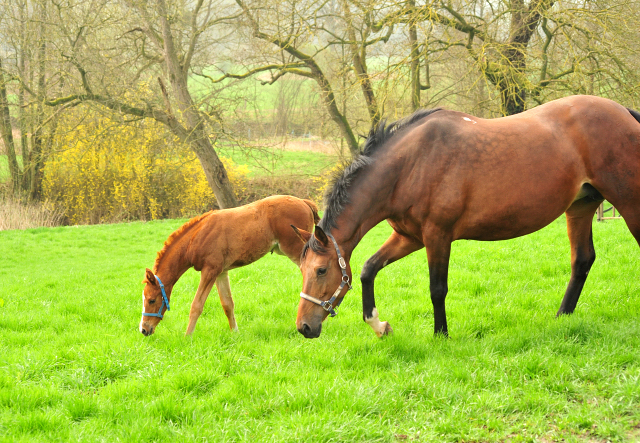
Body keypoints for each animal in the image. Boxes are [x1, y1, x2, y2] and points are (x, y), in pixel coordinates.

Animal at [140, 195, 320, 336]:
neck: (195, 238)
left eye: (151, 300)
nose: (143, 329)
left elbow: (196, 305)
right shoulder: (220, 272)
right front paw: (235, 333)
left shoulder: (209, 271)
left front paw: (187, 337)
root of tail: (304, 202)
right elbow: (227, 304)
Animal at [292, 96, 640, 340]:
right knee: (582, 260)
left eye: (321, 270)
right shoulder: (409, 237)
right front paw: (379, 325)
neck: (410, 165)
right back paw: (562, 318)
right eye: (303, 270)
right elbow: (368, 269)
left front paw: (441, 335)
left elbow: (437, 288)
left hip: (628, 202)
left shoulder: (437, 236)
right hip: (581, 206)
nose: (304, 327)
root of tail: (624, 112)